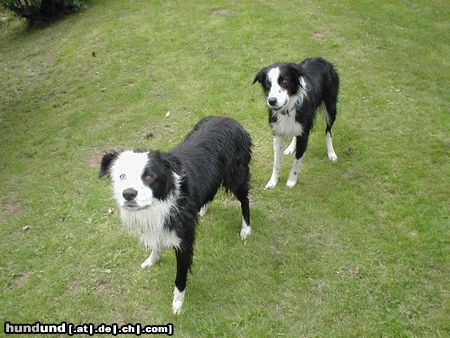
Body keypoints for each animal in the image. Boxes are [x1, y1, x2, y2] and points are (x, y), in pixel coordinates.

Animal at [98, 116, 251, 314]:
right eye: (122, 176)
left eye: (149, 177)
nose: (128, 194)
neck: (160, 202)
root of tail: (229, 119)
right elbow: (155, 244)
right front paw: (152, 259)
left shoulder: (184, 240)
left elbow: (180, 276)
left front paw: (177, 303)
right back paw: (202, 209)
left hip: (236, 175)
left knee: (245, 200)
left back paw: (246, 229)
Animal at [255, 57, 340, 189]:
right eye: (268, 84)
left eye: (284, 81)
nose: (272, 101)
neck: (288, 109)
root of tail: (321, 59)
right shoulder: (277, 133)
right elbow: (276, 161)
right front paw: (273, 181)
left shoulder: (304, 135)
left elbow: (297, 161)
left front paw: (291, 181)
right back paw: (290, 147)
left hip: (331, 109)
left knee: (328, 131)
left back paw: (331, 152)